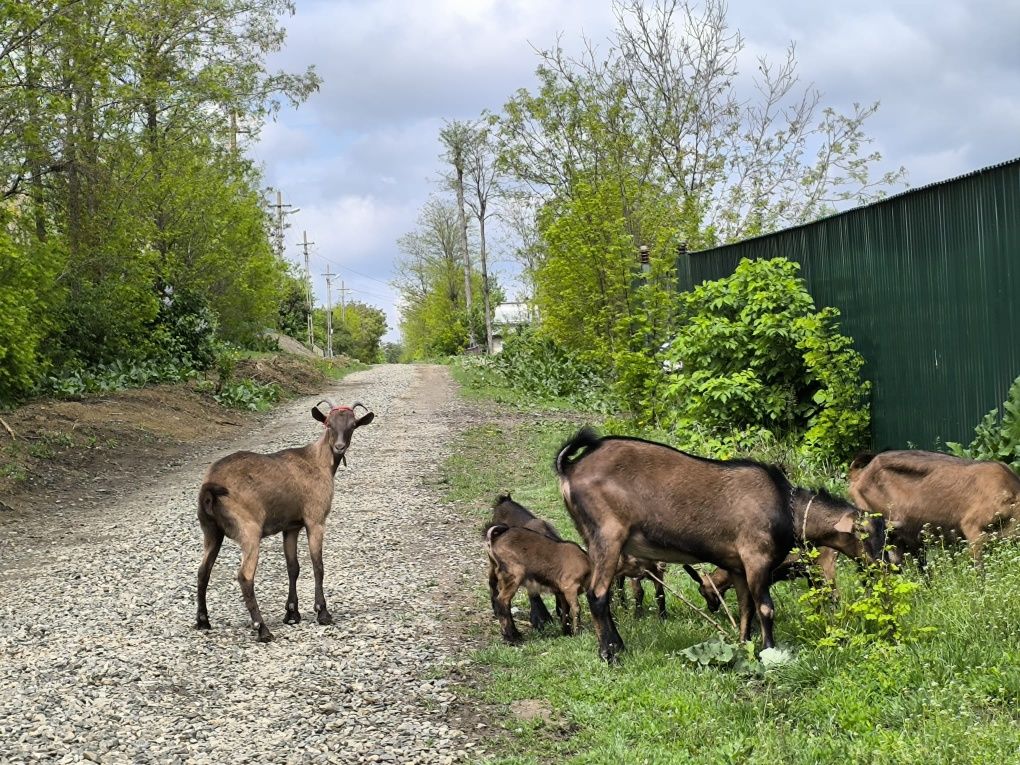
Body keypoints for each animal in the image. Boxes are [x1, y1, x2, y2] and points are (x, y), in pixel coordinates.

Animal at [192, 397, 373, 644]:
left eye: (353, 425)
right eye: (328, 424)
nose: (339, 447)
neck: (318, 461)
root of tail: (210, 486)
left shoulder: (291, 527)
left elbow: (293, 567)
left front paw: (292, 613)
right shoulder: (315, 519)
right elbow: (317, 565)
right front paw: (323, 612)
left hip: (211, 530)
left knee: (203, 571)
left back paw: (203, 621)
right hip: (249, 529)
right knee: (245, 576)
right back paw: (262, 629)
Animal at [554, 428, 791, 660]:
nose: (713, 607)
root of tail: (569, 467)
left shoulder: (738, 566)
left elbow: (746, 607)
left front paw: (745, 645)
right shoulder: (756, 557)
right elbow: (765, 607)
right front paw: (769, 650)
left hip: (591, 537)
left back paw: (618, 647)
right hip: (608, 534)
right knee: (597, 594)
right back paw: (609, 654)